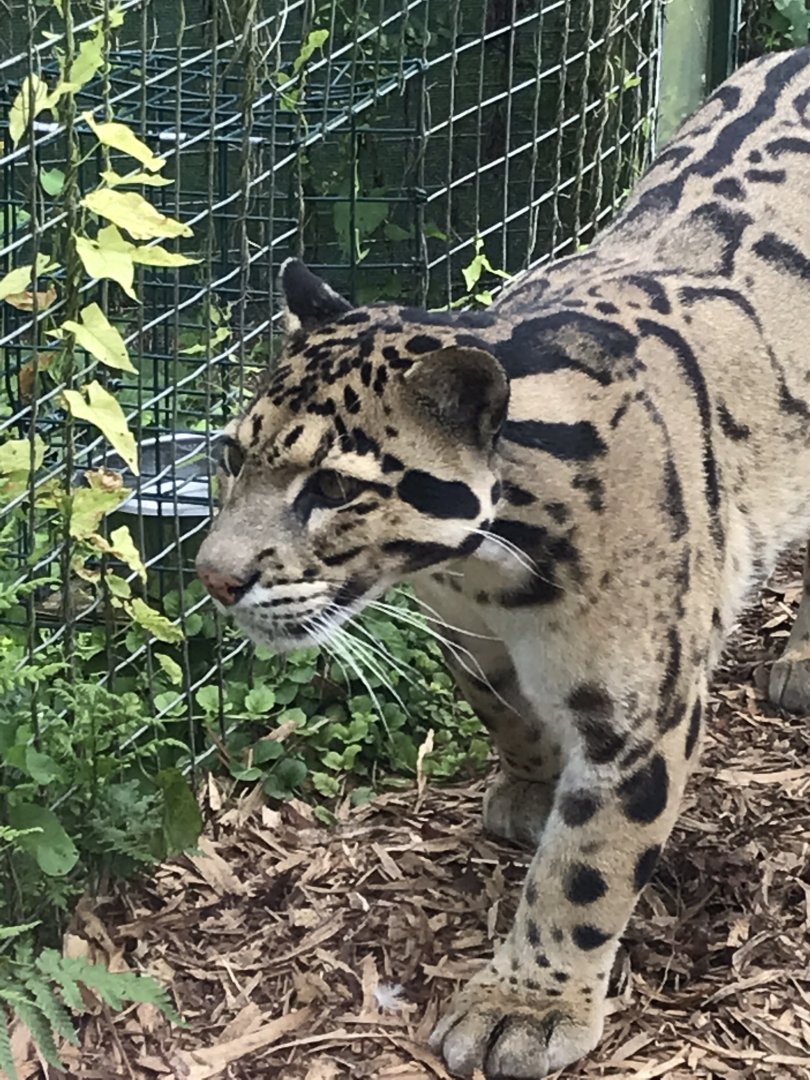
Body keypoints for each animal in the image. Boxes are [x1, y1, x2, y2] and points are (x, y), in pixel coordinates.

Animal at [196, 46, 810, 1079]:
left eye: (332, 487)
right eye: (232, 455)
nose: (214, 577)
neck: (493, 570)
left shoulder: (641, 713)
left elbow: (586, 869)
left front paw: (524, 1004)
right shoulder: (467, 634)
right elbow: (502, 711)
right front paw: (528, 788)